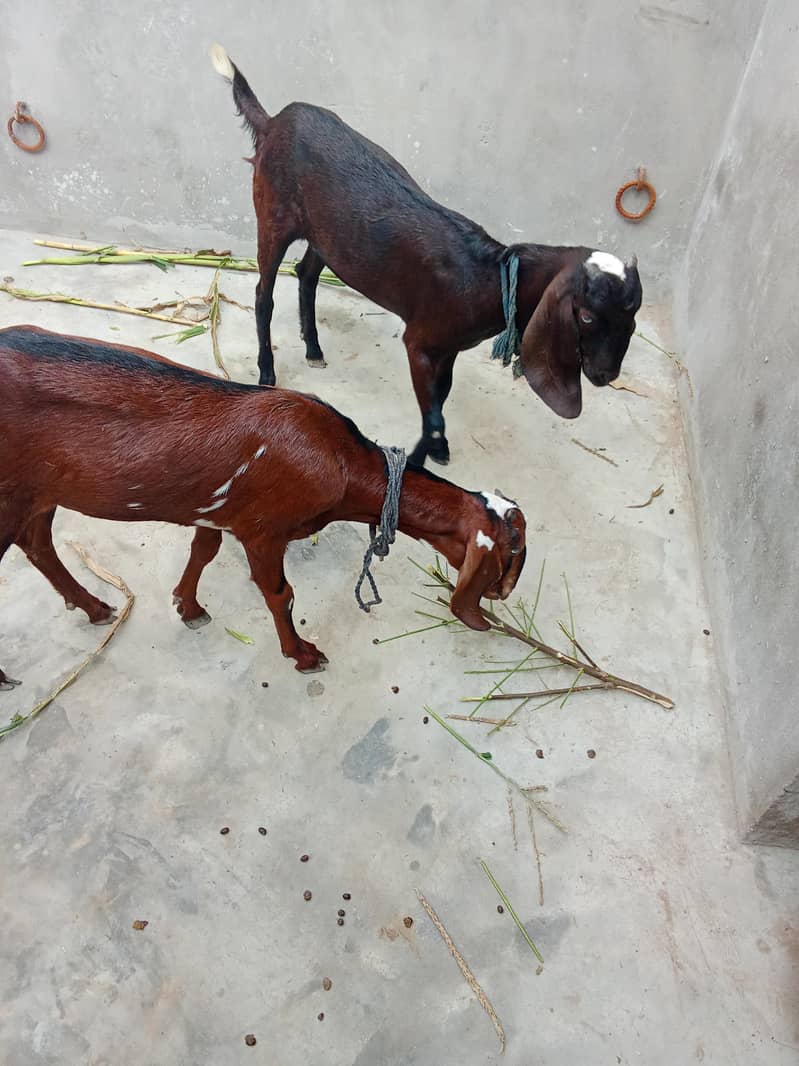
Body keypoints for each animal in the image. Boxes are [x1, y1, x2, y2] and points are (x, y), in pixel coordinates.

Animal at [0, 326, 526, 687]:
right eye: (511, 553)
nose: (501, 597)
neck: (341, 462)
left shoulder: (218, 512)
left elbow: (203, 551)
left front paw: (188, 606)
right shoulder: (263, 530)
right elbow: (281, 594)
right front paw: (304, 655)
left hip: (36, 493)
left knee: (38, 543)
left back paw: (94, 607)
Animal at [210, 45, 643, 467]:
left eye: (633, 319)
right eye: (586, 316)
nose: (606, 375)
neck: (489, 277)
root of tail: (273, 122)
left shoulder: (448, 347)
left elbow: (442, 395)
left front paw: (435, 450)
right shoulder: (419, 341)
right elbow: (432, 411)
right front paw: (421, 458)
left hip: (325, 236)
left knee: (306, 273)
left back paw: (313, 349)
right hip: (272, 214)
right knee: (264, 293)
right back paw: (267, 371)